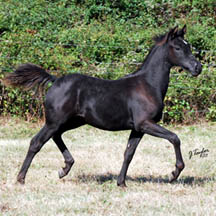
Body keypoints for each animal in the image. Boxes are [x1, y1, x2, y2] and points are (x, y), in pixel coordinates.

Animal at [3, 26, 202, 186]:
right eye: (178, 47)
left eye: (189, 46)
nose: (197, 68)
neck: (148, 84)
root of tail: (55, 80)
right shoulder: (145, 123)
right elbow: (174, 138)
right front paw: (173, 173)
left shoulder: (138, 128)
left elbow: (128, 153)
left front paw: (121, 183)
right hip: (55, 121)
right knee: (36, 142)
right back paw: (21, 178)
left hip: (72, 121)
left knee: (56, 136)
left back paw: (65, 168)